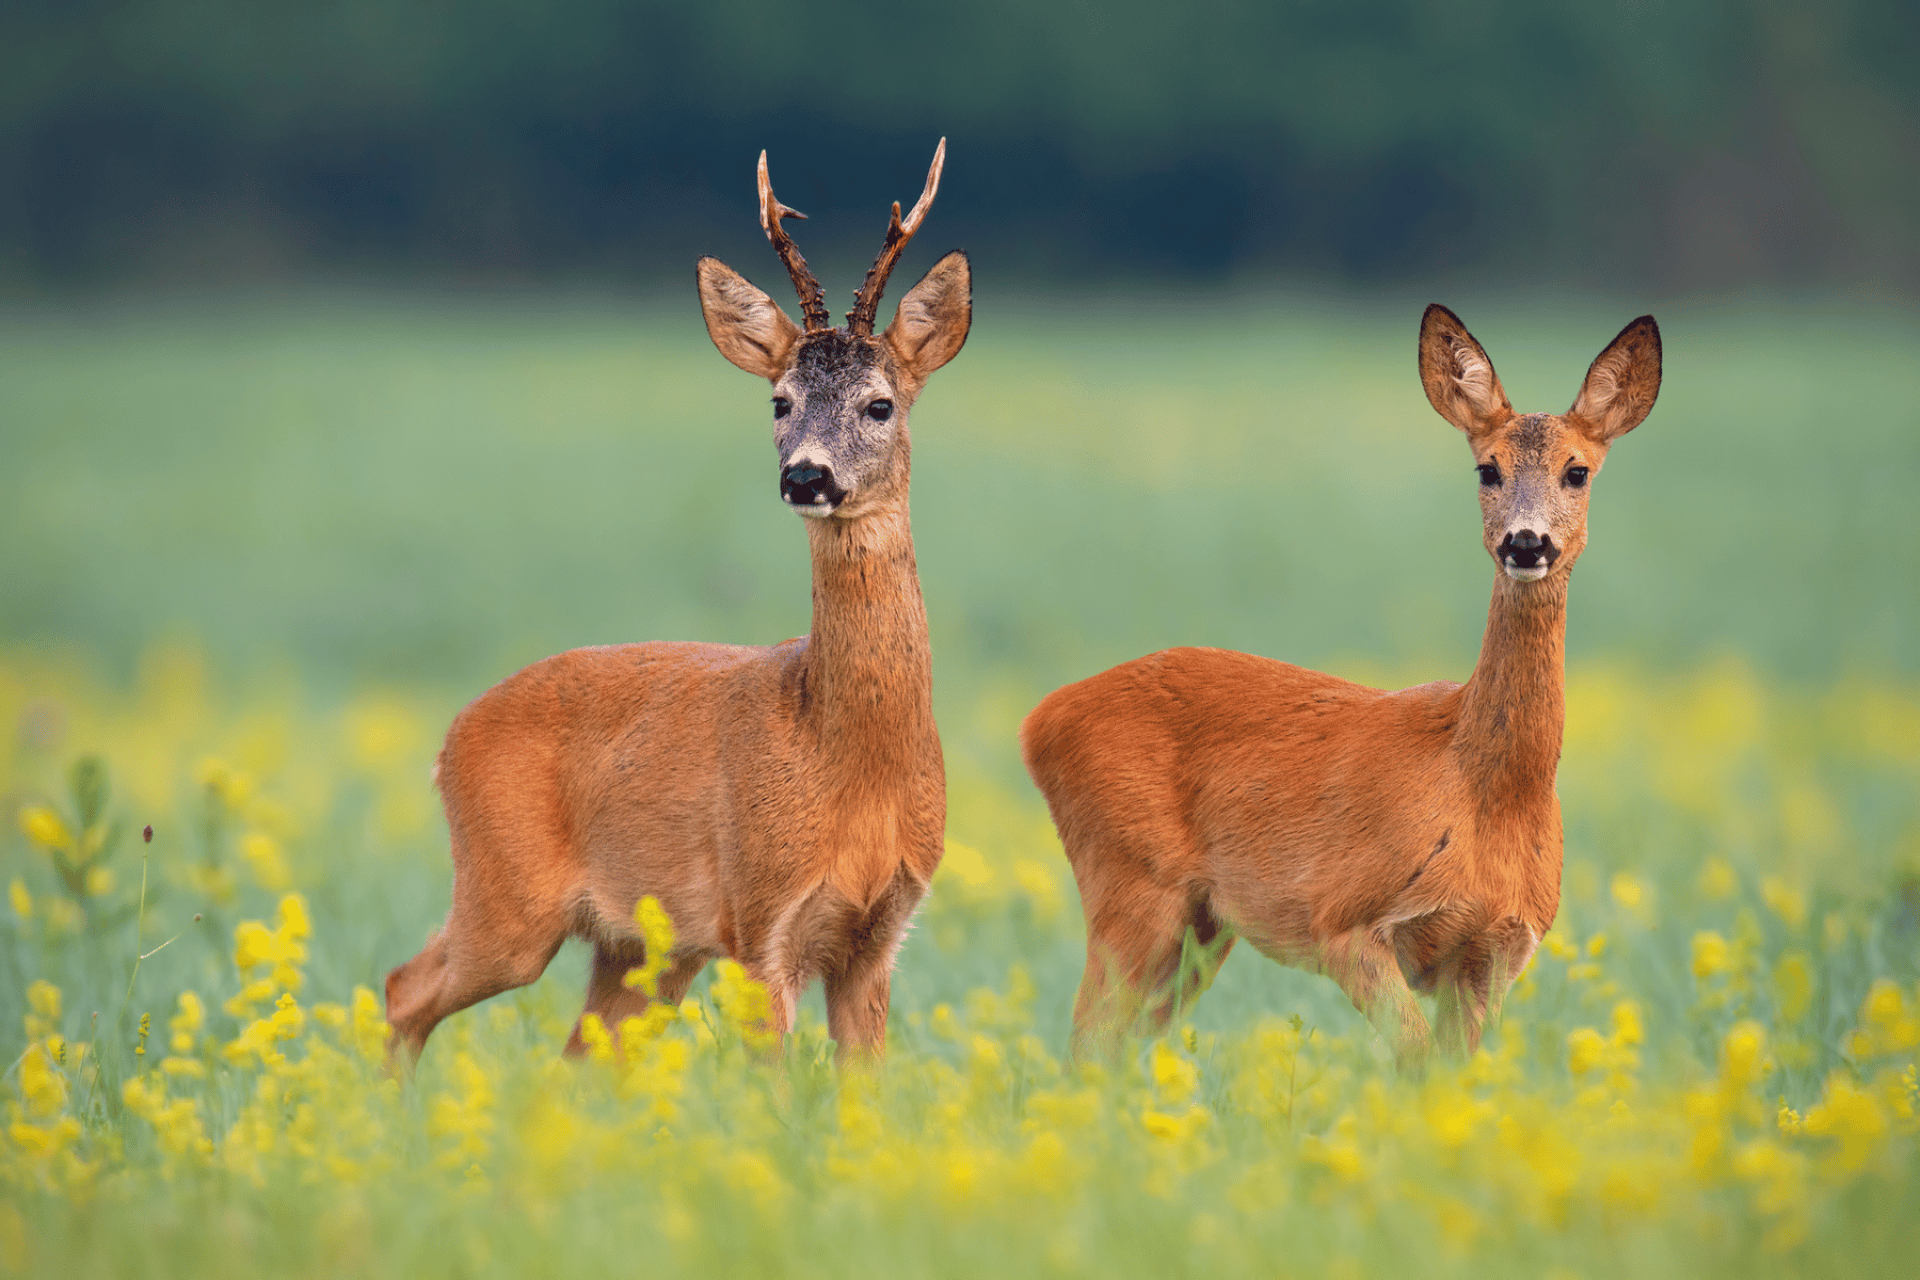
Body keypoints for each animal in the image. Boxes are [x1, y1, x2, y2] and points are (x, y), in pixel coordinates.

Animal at [384, 140, 971, 1066]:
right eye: (779, 401)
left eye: (880, 403)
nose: (806, 475)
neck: (847, 762)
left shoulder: (881, 935)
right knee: (403, 988)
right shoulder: (758, 917)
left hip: (637, 947)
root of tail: (447, 741)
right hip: (508, 898)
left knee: (573, 1051)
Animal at [1020, 305, 1661, 1070]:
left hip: (1200, 927)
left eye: (1577, 471)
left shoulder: (1495, 951)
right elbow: (1414, 1062)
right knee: (1084, 1045)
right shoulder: (1344, 919)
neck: (1485, 791)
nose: (1526, 543)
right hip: (1129, 879)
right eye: (1487, 468)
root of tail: (1039, 721)